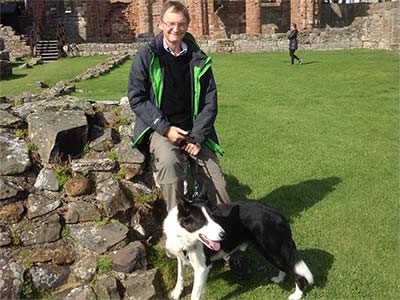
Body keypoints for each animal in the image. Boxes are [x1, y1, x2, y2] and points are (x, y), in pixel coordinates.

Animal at [162, 190, 312, 300]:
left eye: (214, 217)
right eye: (202, 221)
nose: (224, 234)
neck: (184, 235)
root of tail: (279, 215)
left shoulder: (202, 268)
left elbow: (195, 294)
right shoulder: (181, 257)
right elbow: (180, 277)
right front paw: (176, 293)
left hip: (273, 251)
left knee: (296, 273)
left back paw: (297, 295)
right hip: (271, 252)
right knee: (286, 268)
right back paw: (279, 279)